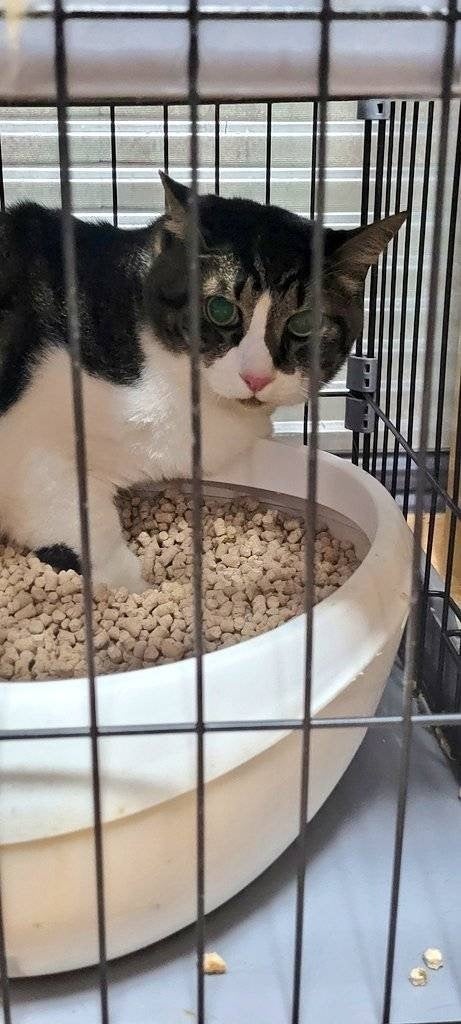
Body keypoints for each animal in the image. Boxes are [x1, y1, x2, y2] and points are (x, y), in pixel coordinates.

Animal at [0, 173, 405, 591]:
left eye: (305, 323)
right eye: (221, 309)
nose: (257, 376)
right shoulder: (30, 445)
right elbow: (85, 527)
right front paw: (137, 589)